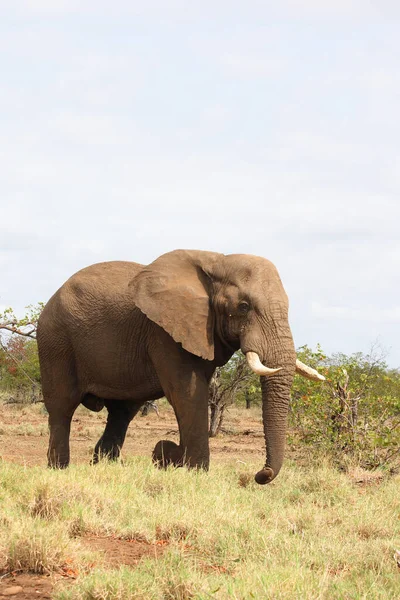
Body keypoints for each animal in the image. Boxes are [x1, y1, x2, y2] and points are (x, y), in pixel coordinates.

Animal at [36, 248, 324, 482]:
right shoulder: (164, 332)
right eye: (243, 307)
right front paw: (196, 473)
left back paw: (105, 466)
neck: (216, 261)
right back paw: (59, 469)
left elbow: (190, 394)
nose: (260, 474)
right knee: (62, 407)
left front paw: (177, 460)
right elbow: (188, 393)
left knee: (121, 413)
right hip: (55, 341)